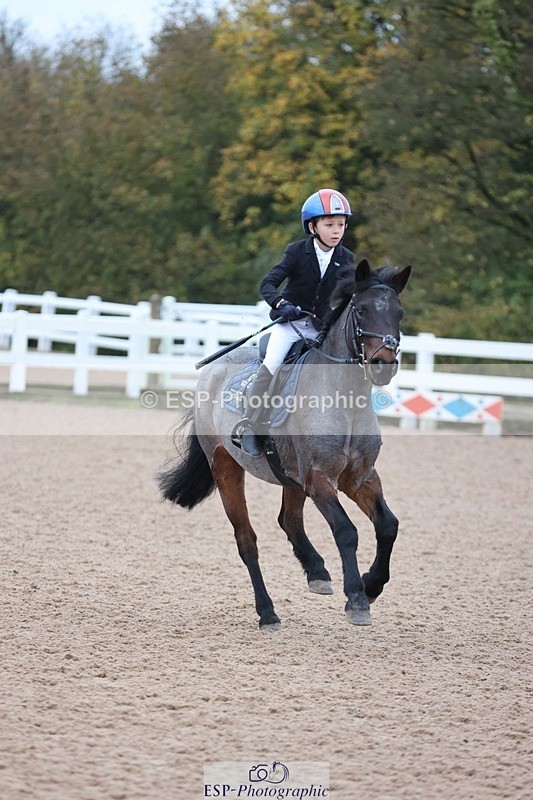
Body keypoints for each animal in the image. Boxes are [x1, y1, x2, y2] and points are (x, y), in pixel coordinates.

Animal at [158, 259, 411, 630]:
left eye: (400, 313)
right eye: (362, 310)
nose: (384, 365)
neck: (345, 401)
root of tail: (212, 372)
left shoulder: (360, 477)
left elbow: (388, 526)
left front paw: (372, 584)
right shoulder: (319, 479)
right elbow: (346, 531)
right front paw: (357, 598)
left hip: (289, 476)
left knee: (289, 519)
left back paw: (317, 572)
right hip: (226, 467)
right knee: (247, 541)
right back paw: (267, 612)